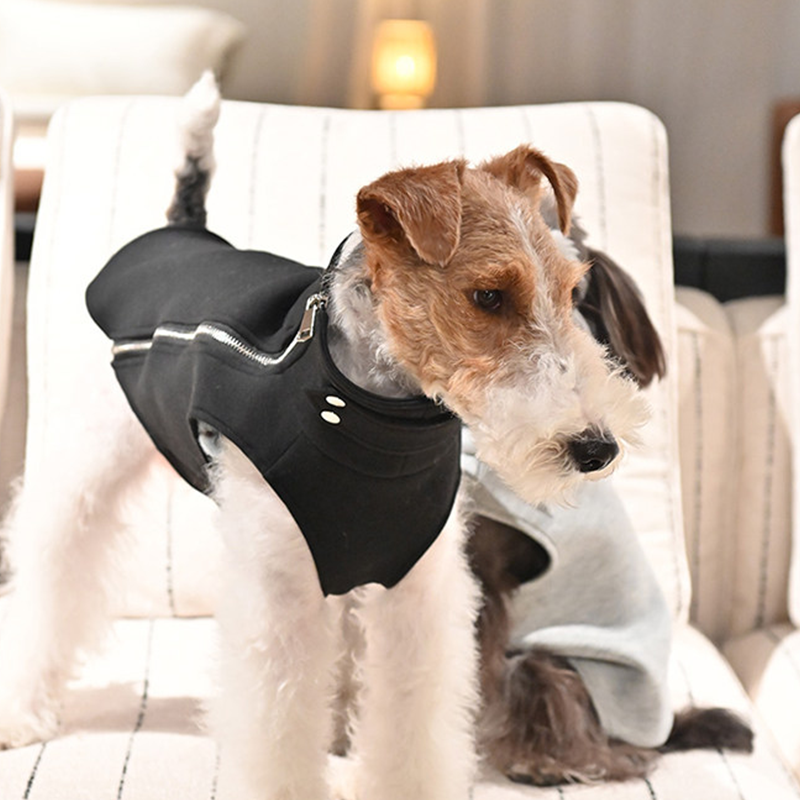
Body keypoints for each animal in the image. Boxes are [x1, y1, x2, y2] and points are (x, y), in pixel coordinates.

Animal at [0, 74, 681, 799]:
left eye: (572, 291)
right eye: (489, 296)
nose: (597, 447)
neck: (373, 416)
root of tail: (182, 230)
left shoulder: (418, 588)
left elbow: (411, 725)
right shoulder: (282, 594)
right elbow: (278, 731)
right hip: (85, 466)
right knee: (53, 566)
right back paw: (20, 709)